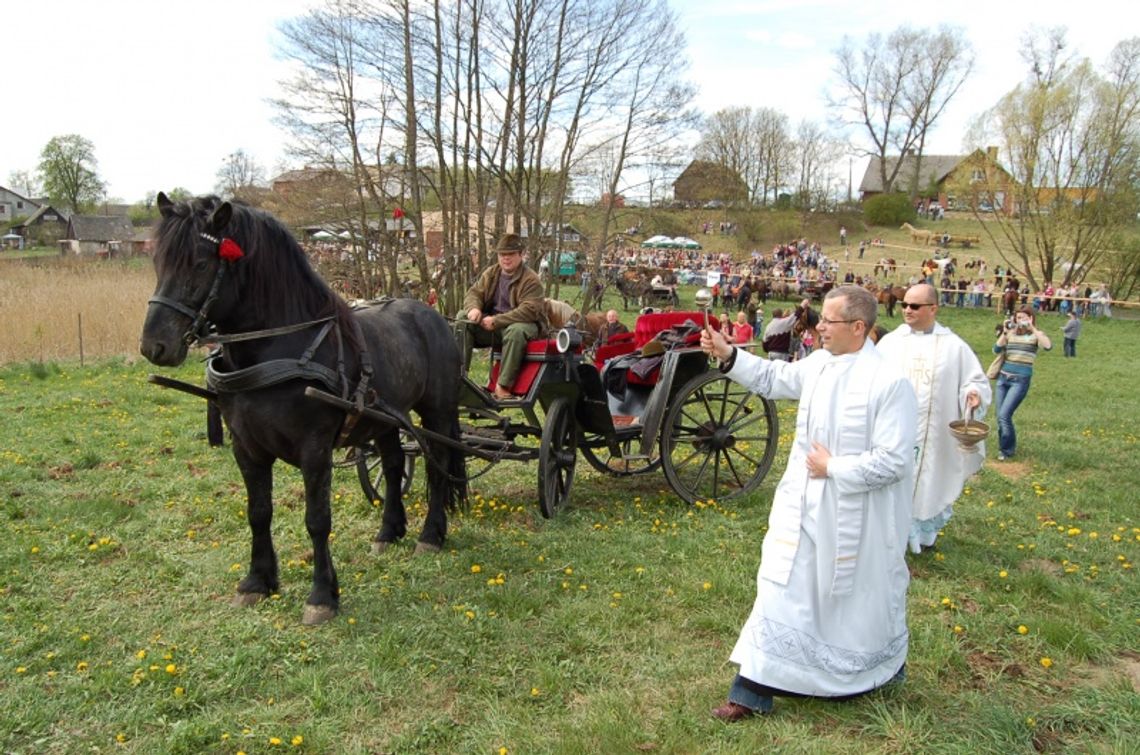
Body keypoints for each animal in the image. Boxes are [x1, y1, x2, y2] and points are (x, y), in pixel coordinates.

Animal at [140, 193, 465, 624]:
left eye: (200, 263)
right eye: (158, 262)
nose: (154, 346)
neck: (282, 348)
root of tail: (434, 316)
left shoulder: (315, 449)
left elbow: (317, 520)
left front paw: (322, 596)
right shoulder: (246, 448)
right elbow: (258, 512)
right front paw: (257, 582)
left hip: (438, 411)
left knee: (437, 464)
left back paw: (430, 535)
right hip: (383, 418)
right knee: (395, 464)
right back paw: (388, 531)